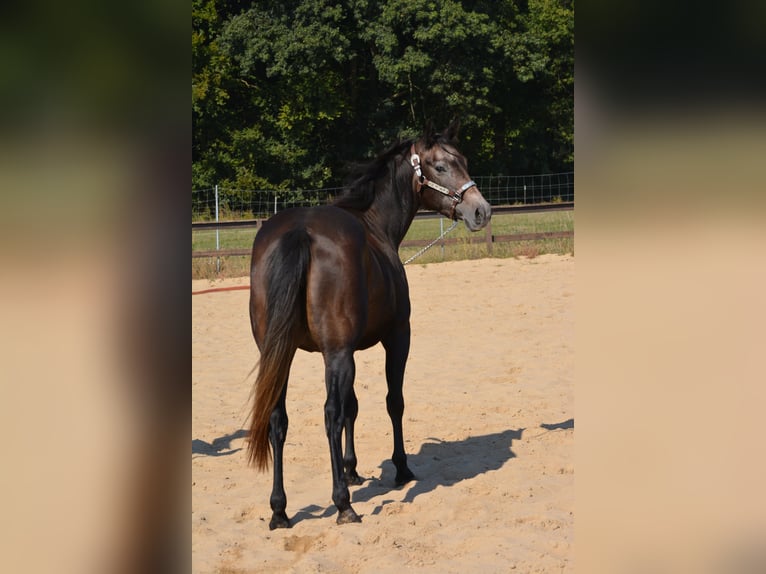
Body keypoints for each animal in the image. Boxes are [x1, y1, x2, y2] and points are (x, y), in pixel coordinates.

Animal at [247, 121, 491, 529]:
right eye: (441, 166)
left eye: (464, 162)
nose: (481, 211)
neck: (375, 225)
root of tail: (300, 231)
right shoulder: (394, 339)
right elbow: (393, 402)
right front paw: (400, 468)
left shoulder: (343, 351)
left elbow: (353, 405)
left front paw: (351, 469)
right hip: (336, 354)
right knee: (329, 415)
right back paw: (343, 504)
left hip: (280, 353)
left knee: (278, 419)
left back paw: (279, 509)